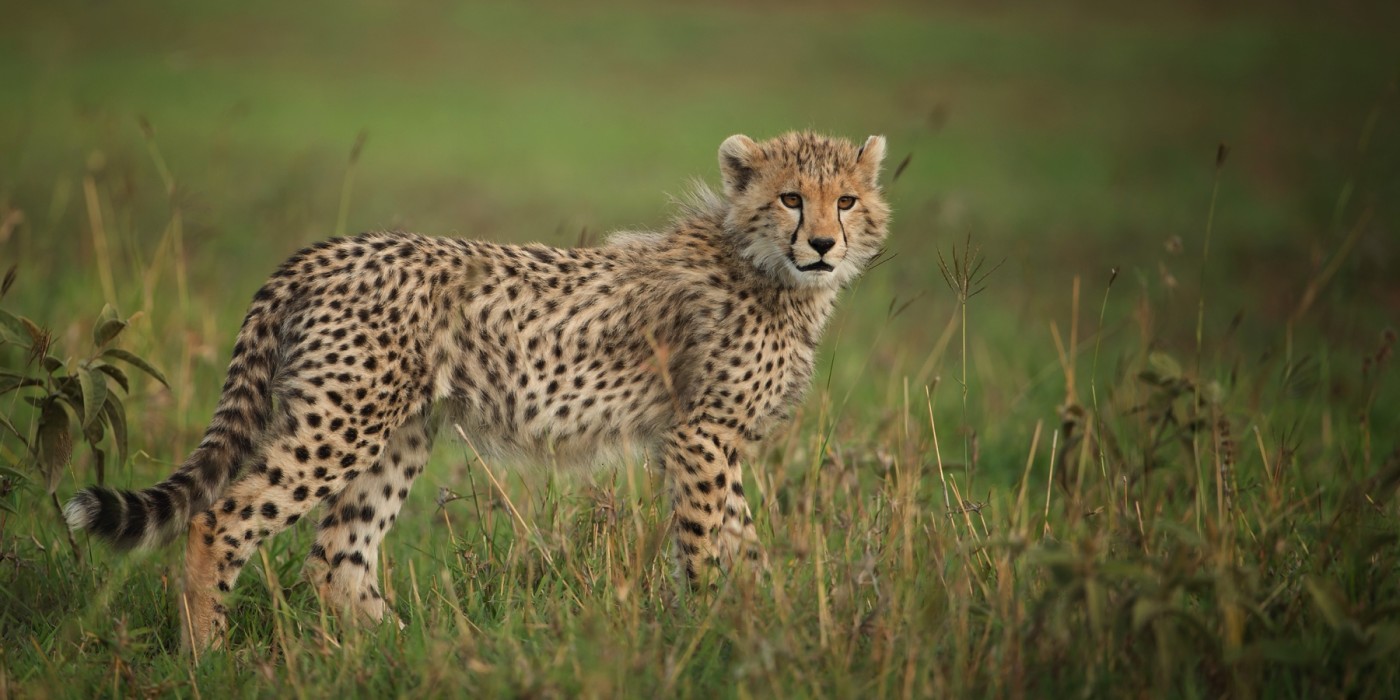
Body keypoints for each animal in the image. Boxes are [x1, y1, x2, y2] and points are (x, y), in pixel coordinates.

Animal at [63, 131, 884, 649]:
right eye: (790, 198)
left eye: (845, 201)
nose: (822, 244)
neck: (764, 267)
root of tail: (330, 249)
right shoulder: (700, 435)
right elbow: (709, 542)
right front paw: (715, 630)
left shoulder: (712, 441)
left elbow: (745, 542)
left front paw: (767, 626)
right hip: (341, 423)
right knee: (222, 520)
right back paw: (209, 656)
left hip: (396, 432)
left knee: (337, 558)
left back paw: (405, 654)